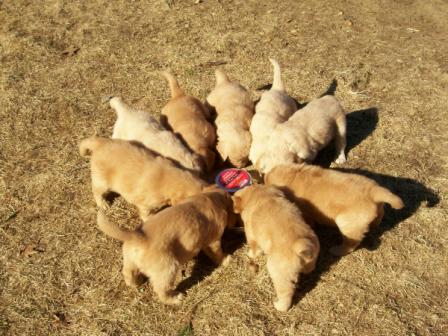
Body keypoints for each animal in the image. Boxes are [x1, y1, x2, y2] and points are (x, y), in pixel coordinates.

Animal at [79, 136, 208, 220]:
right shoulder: (145, 204)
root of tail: (100, 143)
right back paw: (103, 204)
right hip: (101, 181)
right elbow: (146, 214)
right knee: (97, 192)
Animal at [96, 188, 236, 306]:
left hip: (130, 261)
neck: (211, 198)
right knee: (160, 289)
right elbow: (217, 253)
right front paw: (226, 260)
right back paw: (175, 298)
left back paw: (135, 283)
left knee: (127, 273)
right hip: (168, 268)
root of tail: (138, 237)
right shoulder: (213, 241)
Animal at [264, 164, 404, 256]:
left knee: (351, 244)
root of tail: (373, 191)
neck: (294, 175)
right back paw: (375, 225)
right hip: (377, 209)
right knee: (379, 216)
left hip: (346, 224)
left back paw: (337, 250)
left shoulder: (306, 212)